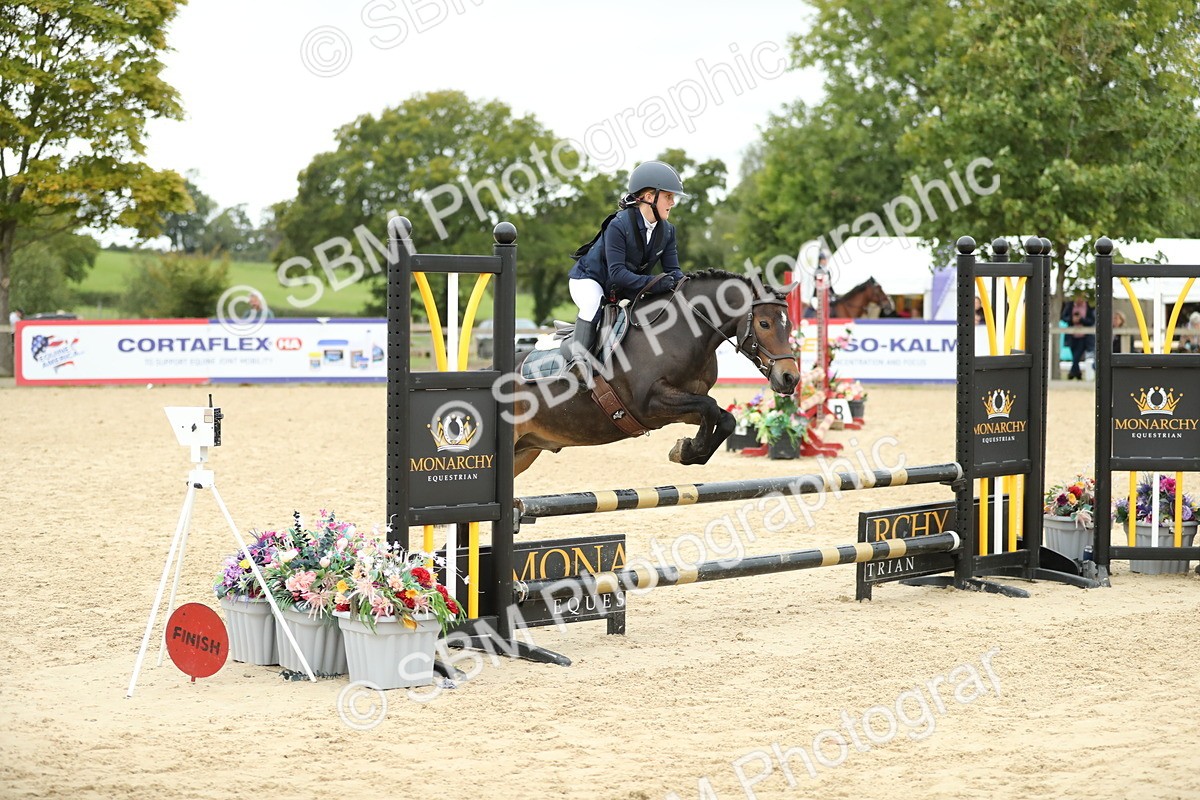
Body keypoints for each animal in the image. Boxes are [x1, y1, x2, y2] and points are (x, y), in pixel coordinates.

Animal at [512, 270, 801, 477]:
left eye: (789, 326)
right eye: (764, 323)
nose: (790, 378)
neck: (681, 332)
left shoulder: (683, 407)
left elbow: (724, 417)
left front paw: (686, 450)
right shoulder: (649, 402)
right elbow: (709, 407)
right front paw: (686, 449)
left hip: (524, 452)